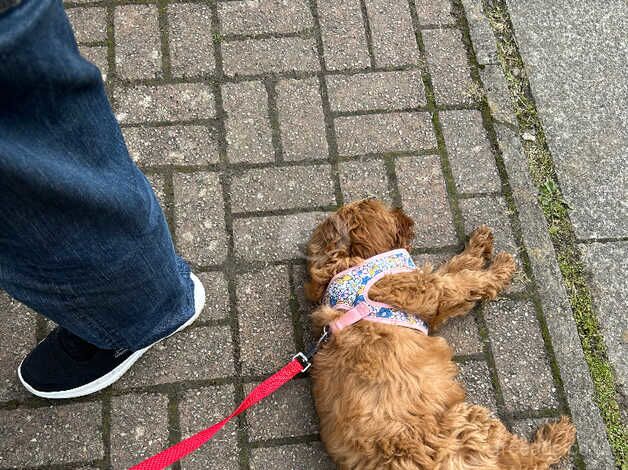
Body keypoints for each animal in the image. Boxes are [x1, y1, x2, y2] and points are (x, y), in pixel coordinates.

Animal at [304, 199, 576, 470]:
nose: (408, 218)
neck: (346, 265)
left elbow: (455, 265)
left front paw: (479, 244)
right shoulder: (429, 291)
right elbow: (467, 280)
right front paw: (500, 267)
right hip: (467, 424)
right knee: (522, 457)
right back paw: (559, 435)